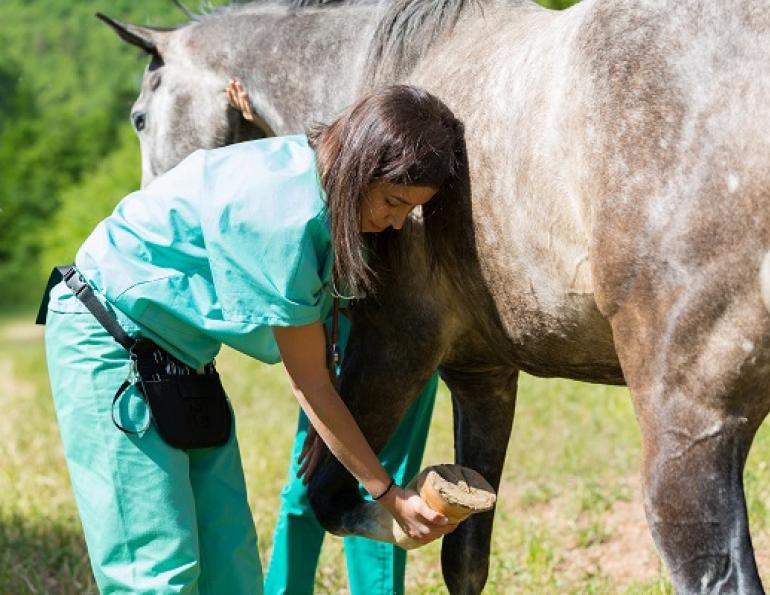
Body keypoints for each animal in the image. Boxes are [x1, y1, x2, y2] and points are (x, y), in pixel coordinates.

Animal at [100, 0, 770, 592]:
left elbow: (334, 498)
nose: (143, 208)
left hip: (685, 437)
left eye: (138, 117)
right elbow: (465, 556)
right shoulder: (483, 377)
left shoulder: (393, 348)